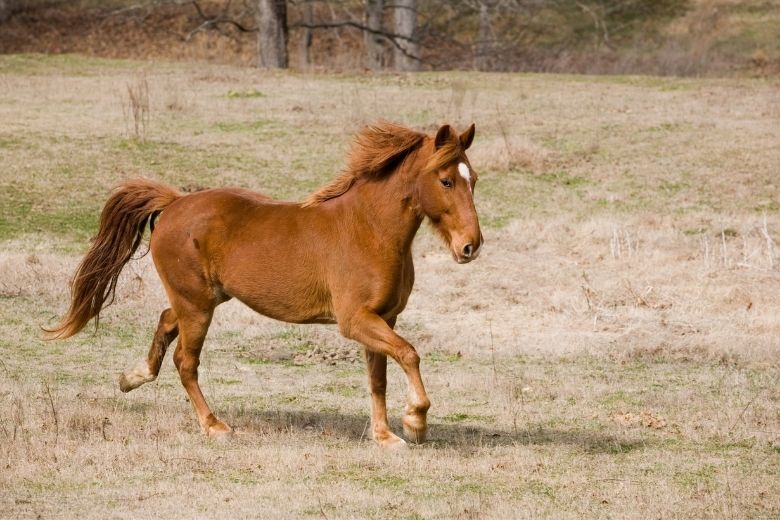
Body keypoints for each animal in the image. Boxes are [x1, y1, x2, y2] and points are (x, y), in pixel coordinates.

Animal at [48, 121, 482, 446]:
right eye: (446, 180)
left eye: (473, 179)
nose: (470, 246)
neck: (369, 230)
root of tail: (173, 203)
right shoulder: (356, 320)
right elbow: (409, 354)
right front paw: (415, 423)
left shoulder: (383, 319)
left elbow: (379, 377)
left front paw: (385, 436)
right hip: (198, 308)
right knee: (185, 362)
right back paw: (214, 426)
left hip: (203, 299)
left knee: (166, 320)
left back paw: (132, 377)